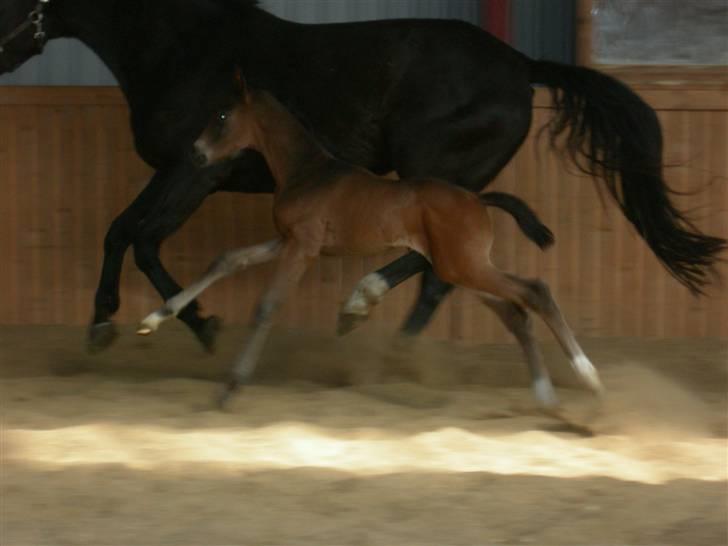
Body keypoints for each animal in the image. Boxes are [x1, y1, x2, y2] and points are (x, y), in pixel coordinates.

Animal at [2, 0, 724, 350]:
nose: (0, 56)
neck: (181, 49)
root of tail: (522, 63)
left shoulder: (195, 170)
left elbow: (137, 237)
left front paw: (172, 325)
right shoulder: (184, 171)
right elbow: (126, 234)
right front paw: (131, 322)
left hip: (431, 174)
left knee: (435, 269)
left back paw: (373, 317)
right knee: (439, 273)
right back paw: (386, 330)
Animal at [136, 78, 604, 406]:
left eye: (221, 117)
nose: (195, 154)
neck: (307, 170)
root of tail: (477, 198)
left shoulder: (302, 246)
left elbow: (267, 304)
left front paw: (230, 388)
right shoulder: (288, 240)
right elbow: (226, 260)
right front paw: (154, 319)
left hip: (465, 266)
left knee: (535, 292)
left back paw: (589, 379)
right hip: (463, 267)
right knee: (515, 313)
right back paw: (546, 396)